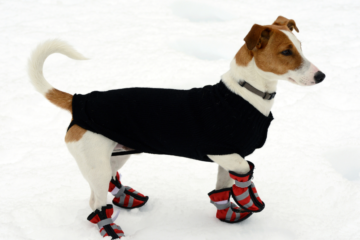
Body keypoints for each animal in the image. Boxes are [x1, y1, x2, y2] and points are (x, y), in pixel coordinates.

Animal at [28, 15, 324, 239]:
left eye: (301, 46)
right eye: (286, 52)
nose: (321, 76)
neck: (244, 95)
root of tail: (79, 100)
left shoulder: (226, 157)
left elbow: (223, 186)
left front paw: (227, 212)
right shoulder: (222, 152)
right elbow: (244, 170)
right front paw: (248, 196)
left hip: (114, 155)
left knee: (99, 190)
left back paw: (125, 198)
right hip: (96, 161)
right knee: (97, 202)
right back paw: (110, 228)